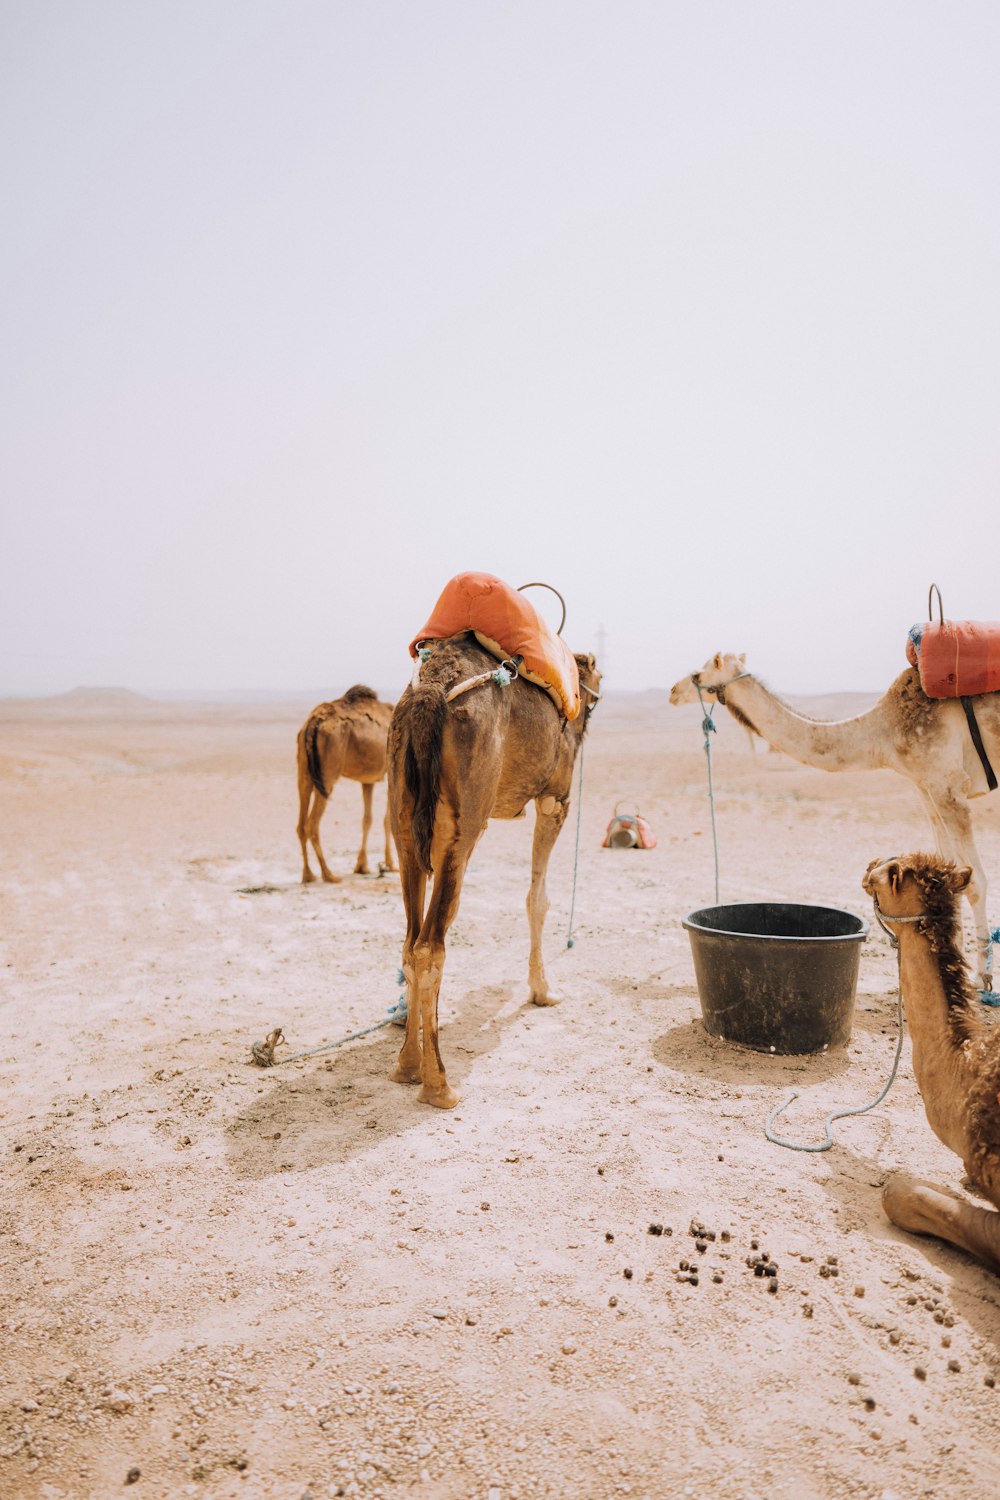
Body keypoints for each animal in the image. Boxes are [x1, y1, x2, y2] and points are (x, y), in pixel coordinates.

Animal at [293, 687, 395, 882]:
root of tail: (312, 724)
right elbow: (388, 819)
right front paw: (391, 865)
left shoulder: (367, 781)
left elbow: (367, 819)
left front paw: (362, 866)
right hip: (328, 772)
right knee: (312, 824)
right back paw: (329, 874)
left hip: (304, 770)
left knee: (301, 824)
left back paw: (308, 875)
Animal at [386, 627, 599, 1110]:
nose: (590, 708)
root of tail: (429, 692)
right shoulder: (555, 798)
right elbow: (538, 899)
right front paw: (543, 990)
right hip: (464, 823)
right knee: (430, 947)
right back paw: (439, 1085)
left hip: (403, 817)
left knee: (409, 942)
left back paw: (407, 1065)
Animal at [671, 660, 1000, 996]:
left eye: (698, 675)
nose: (672, 692)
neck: (884, 730)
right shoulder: (925, 786)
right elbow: (952, 878)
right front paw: (952, 971)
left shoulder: (948, 786)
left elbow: (975, 883)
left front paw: (981, 978)